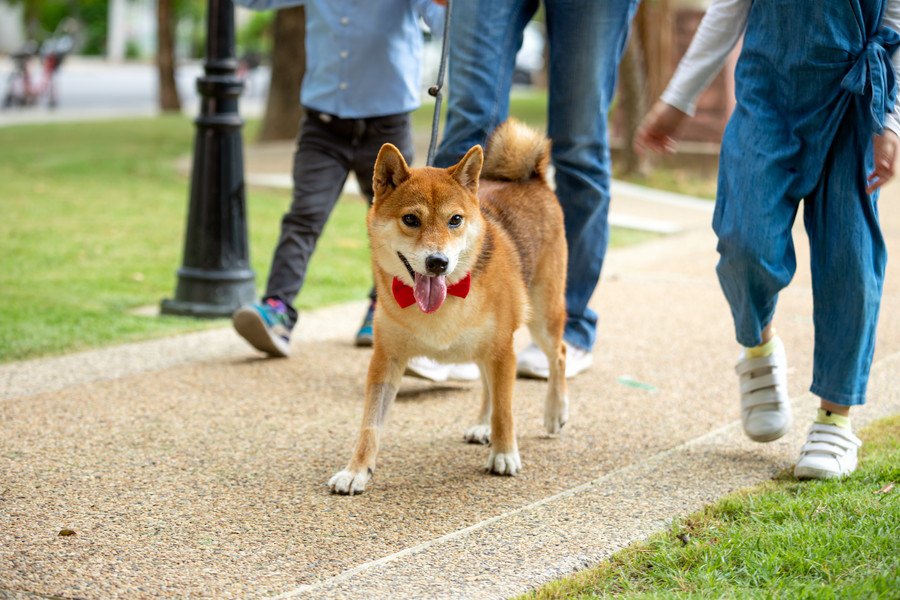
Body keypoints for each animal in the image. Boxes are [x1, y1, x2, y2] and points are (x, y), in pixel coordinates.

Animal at [330, 119, 568, 494]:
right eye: (411, 219)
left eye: (455, 220)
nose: (438, 262)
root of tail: (531, 177)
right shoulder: (386, 358)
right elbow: (370, 425)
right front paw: (356, 470)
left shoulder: (503, 350)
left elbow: (505, 410)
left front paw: (505, 454)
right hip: (488, 347)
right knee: (487, 384)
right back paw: (483, 425)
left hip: (541, 316)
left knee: (558, 354)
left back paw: (554, 413)